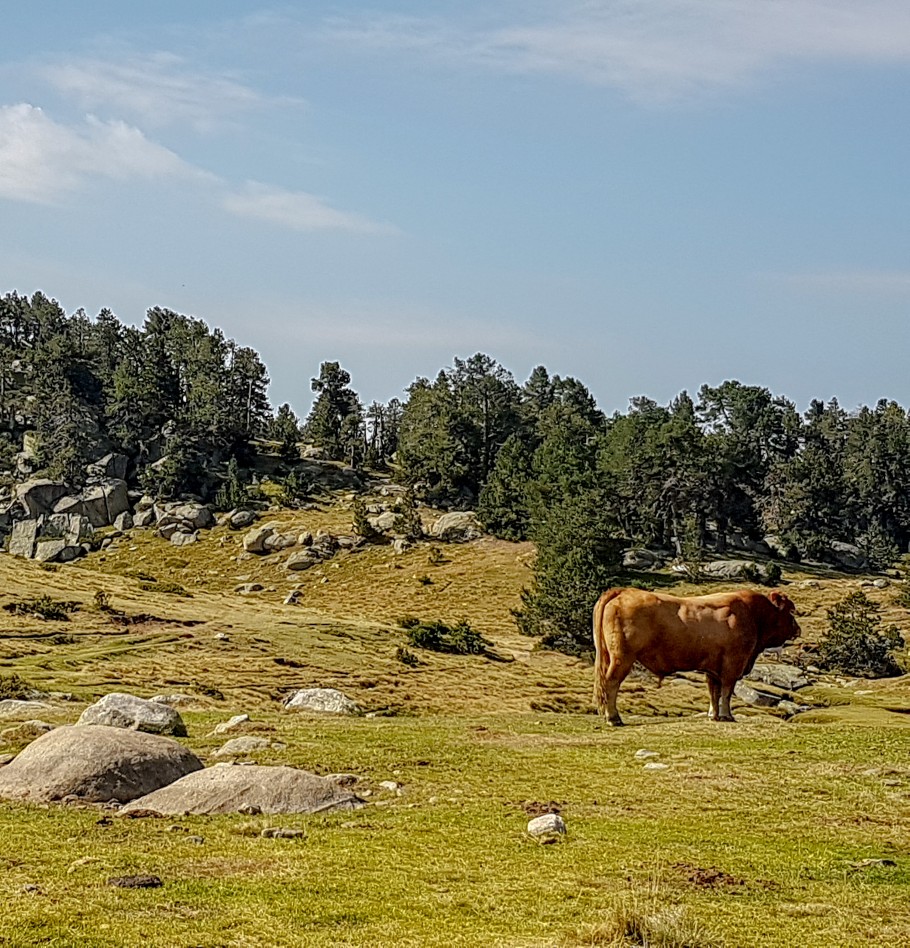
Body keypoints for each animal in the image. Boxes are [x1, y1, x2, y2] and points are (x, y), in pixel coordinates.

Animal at [592, 584, 800, 724]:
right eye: (791, 611)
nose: (798, 629)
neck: (754, 616)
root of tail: (624, 591)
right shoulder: (733, 664)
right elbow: (727, 691)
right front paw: (727, 715)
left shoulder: (713, 668)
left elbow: (714, 691)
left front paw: (713, 715)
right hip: (622, 657)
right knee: (611, 682)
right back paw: (614, 718)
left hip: (610, 656)